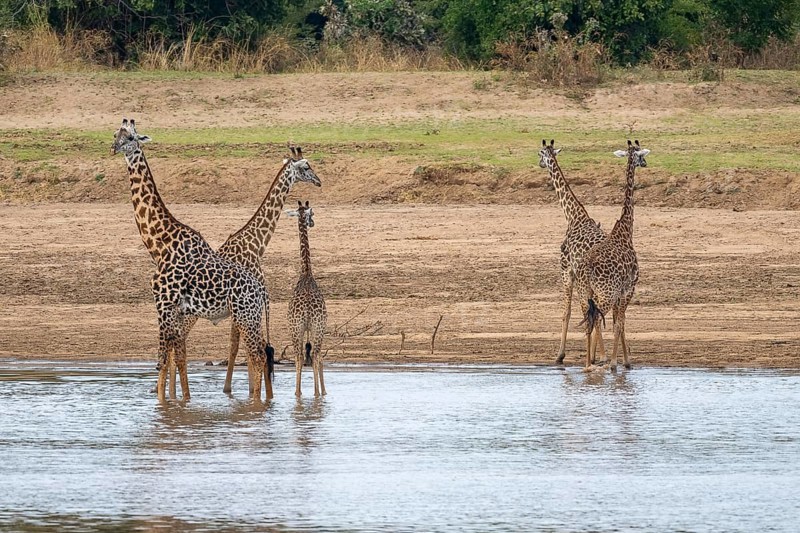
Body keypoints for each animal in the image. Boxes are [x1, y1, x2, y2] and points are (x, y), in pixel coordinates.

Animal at [112, 118, 273, 401]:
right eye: (115, 134)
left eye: (131, 137)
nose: (114, 148)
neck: (159, 245)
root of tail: (262, 291)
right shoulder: (177, 310)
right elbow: (179, 357)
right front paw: (182, 401)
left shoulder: (163, 303)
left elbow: (163, 358)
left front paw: (162, 402)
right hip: (250, 317)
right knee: (260, 354)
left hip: (245, 315)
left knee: (257, 355)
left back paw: (256, 404)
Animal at [164, 145, 322, 396]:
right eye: (306, 166)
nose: (318, 181)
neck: (256, 243)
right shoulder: (246, 302)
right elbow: (239, 346)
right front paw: (239, 390)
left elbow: (241, 346)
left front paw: (242, 390)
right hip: (190, 316)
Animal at [538, 139, 606, 364]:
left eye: (540, 153)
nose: (540, 163)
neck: (573, 216)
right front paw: (592, 355)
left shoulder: (567, 271)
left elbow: (566, 312)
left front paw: (559, 355)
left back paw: (602, 356)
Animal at [576, 140, 649, 371]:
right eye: (640, 155)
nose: (645, 163)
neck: (625, 232)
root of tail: (587, 267)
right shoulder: (628, 289)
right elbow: (620, 324)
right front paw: (616, 363)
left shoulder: (619, 293)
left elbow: (620, 323)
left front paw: (624, 361)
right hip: (604, 294)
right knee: (597, 319)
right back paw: (597, 363)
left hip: (584, 294)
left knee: (588, 321)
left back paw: (587, 365)